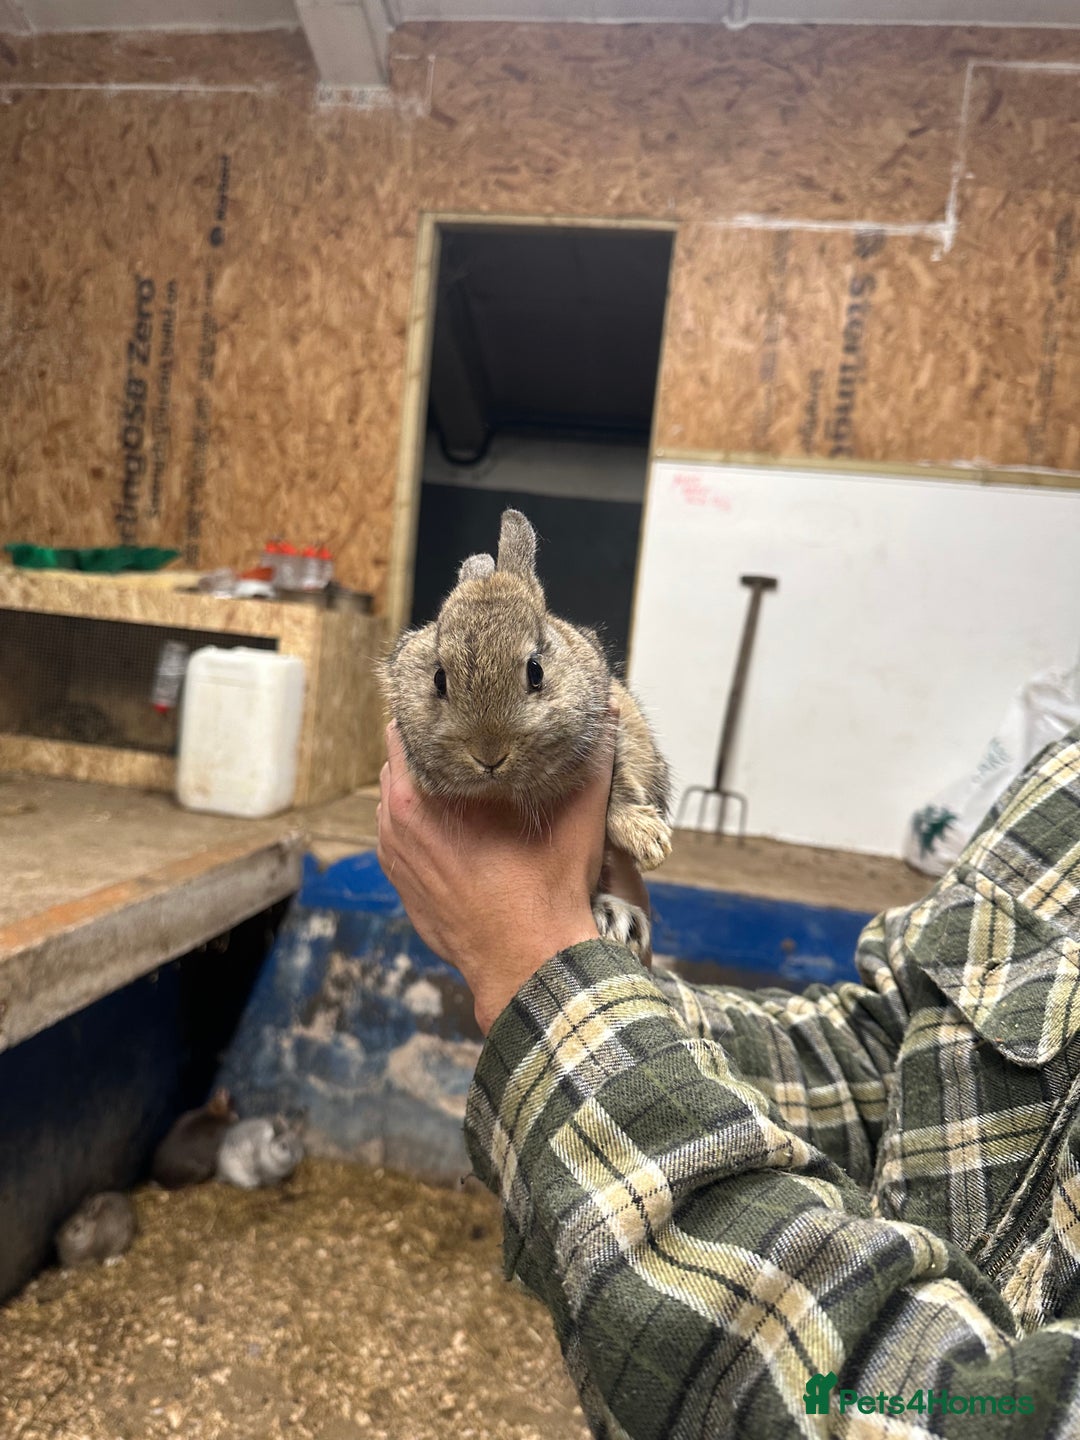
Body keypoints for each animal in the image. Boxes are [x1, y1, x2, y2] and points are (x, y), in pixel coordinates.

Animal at [380, 508, 671, 962]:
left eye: (535, 671)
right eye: (439, 679)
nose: (489, 755)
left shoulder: (612, 730)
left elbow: (620, 787)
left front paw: (649, 841)